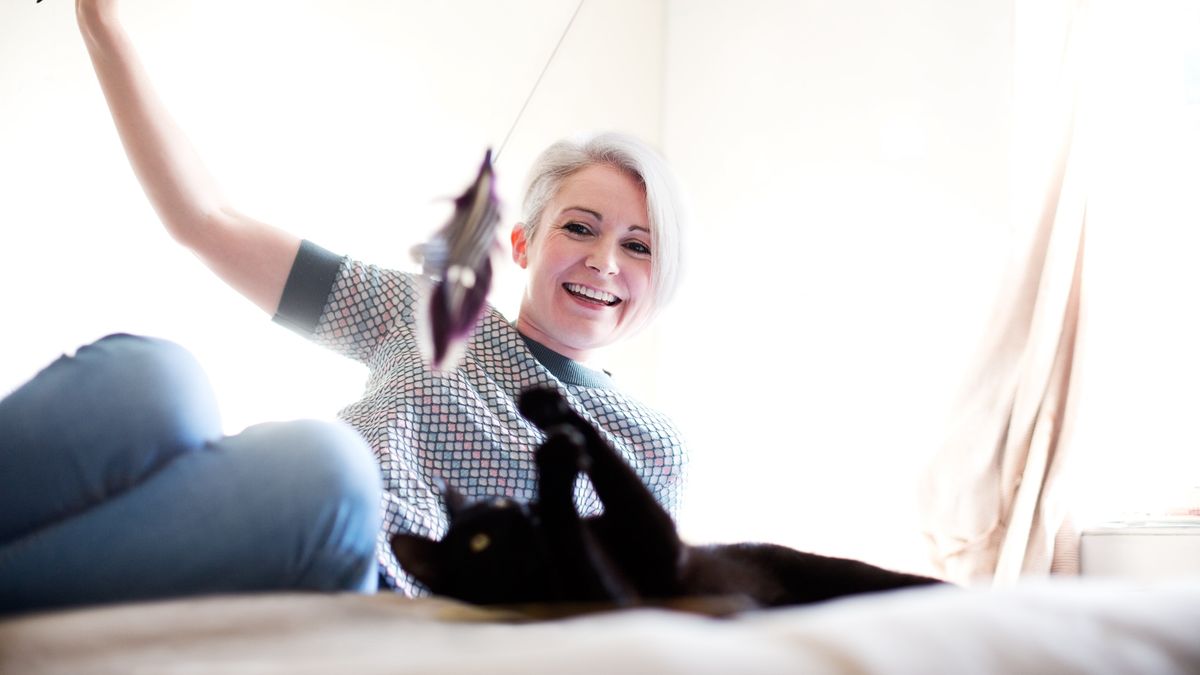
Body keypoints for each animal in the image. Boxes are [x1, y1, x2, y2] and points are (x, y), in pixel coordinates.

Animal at [388, 386, 940, 607]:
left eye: (510, 505)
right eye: (481, 542)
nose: (529, 514)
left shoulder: (653, 543)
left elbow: (606, 458)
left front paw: (548, 407)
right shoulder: (621, 592)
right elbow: (601, 497)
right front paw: (556, 460)